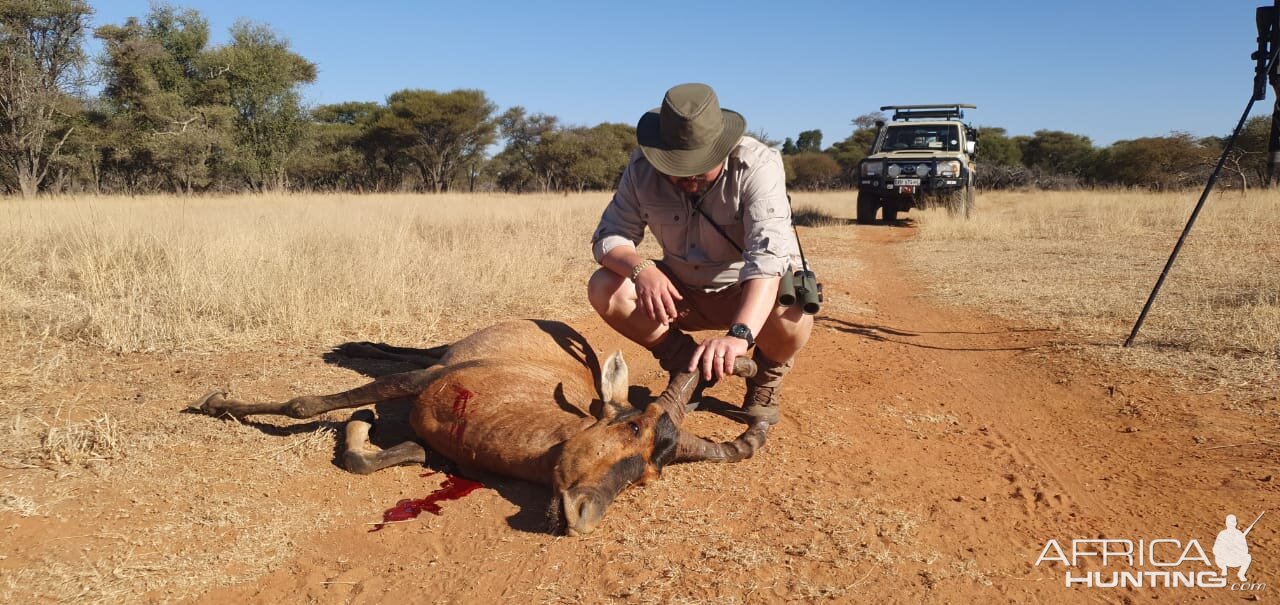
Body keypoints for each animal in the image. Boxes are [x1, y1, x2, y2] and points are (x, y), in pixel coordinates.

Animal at [189, 318, 762, 534]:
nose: (582, 516)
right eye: (632, 428)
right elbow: (305, 403)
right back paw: (351, 347)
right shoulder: (423, 382)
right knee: (419, 351)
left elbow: (369, 457)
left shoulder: (434, 451)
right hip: (448, 354)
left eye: (647, 477)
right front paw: (215, 402)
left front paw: (361, 421)